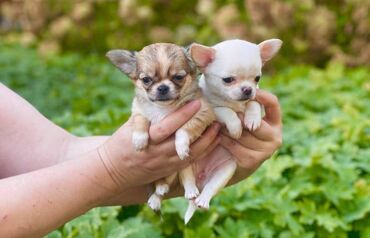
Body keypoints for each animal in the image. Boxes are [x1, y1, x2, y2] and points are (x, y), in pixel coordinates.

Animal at [106, 42, 214, 210]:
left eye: (178, 77)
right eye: (146, 79)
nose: (163, 87)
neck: (163, 108)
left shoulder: (203, 112)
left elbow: (184, 128)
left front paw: (181, 146)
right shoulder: (138, 110)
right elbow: (141, 121)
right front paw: (139, 140)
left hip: (181, 167)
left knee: (185, 173)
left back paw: (188, 190)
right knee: (160, 183)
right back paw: (158, 194)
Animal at [185, 38, 284, 222]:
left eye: (257, 78)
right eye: (228, 80)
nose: (247, 89)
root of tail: (201, 177)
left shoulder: (256, 97)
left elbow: (253, 104)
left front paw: (252, 119)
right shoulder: (211, 110)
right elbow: (226, 111)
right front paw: (236, 127)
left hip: (225, 170)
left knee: (211, 187)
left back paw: (203, 200)